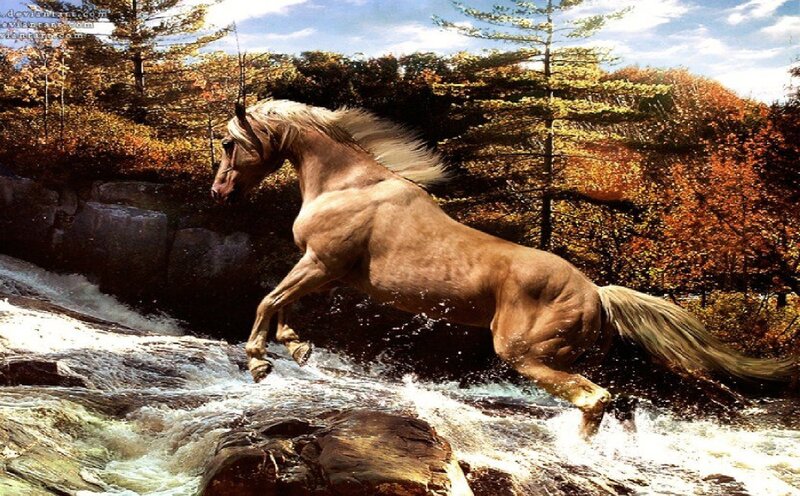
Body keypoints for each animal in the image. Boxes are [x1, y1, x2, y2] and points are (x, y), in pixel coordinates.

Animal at [211, 99, 797, 439]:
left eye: (228, 142)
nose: (219, 192)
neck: (350, 183)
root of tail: (597, 292)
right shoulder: (325, 270)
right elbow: (283, 304)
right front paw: (296, 348)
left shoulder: (321, 261)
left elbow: (268, 299)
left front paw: (260, 363)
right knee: (611, 402)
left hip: (526, 356)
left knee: (594, 399)